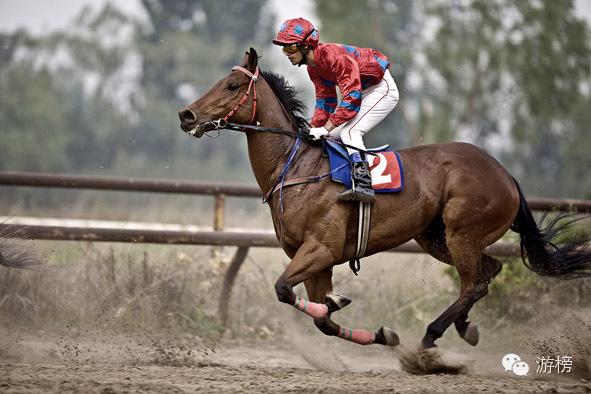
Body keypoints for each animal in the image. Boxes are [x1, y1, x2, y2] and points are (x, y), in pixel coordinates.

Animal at [179, 47, 591, 370]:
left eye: (231, 85)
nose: (187, 115)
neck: (295, 168)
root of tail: (504, 173)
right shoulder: (315, 261)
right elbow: (323, 320)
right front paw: (379, 331)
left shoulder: (320, 250)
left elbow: (284, 289)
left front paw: (341, 305)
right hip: (436, 238)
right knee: (487, 273)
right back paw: (464, 328)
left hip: (462, 233)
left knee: (473, 282)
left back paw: (430, 338)